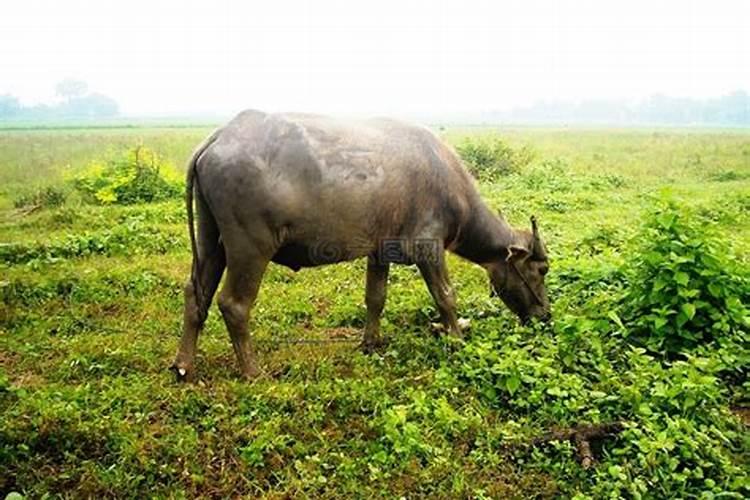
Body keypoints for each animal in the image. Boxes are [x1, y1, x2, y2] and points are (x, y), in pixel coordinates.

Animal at [175, 111, 552, 380]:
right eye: (541, 269)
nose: (545, 316)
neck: (450, 187)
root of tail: (219, 137)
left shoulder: (379, 250)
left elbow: (375, 298)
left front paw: (371, 342)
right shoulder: (428, 248)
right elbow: (446, 297)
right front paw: (457, 339)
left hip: (211, 239)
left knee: (196, 294)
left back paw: (183, 366)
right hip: (250, 246)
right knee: (234, 304)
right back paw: (253, 372)